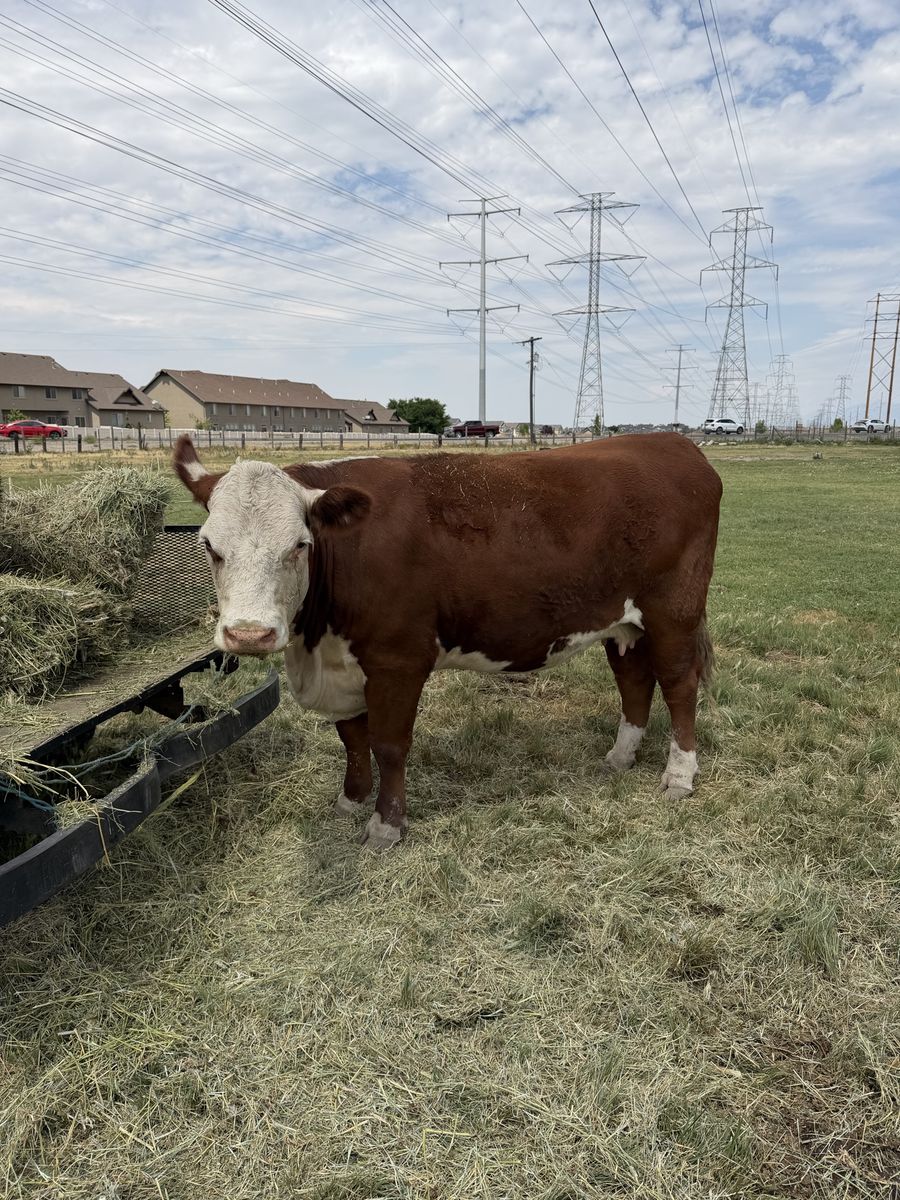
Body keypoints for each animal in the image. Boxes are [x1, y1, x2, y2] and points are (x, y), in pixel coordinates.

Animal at [174, 434, 722, 849]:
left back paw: (679, 775)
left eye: (299, 545)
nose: (249, 634)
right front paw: (351, 799)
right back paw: (620, 756)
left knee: (679, 685)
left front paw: (385, 825)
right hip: (621, 621)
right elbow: (352, 737)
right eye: (208, 545)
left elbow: (388, 744)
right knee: (634, 681)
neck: (313, 648)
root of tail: (672, 442)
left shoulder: (397, 659)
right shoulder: (344, 665)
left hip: (673, 613)